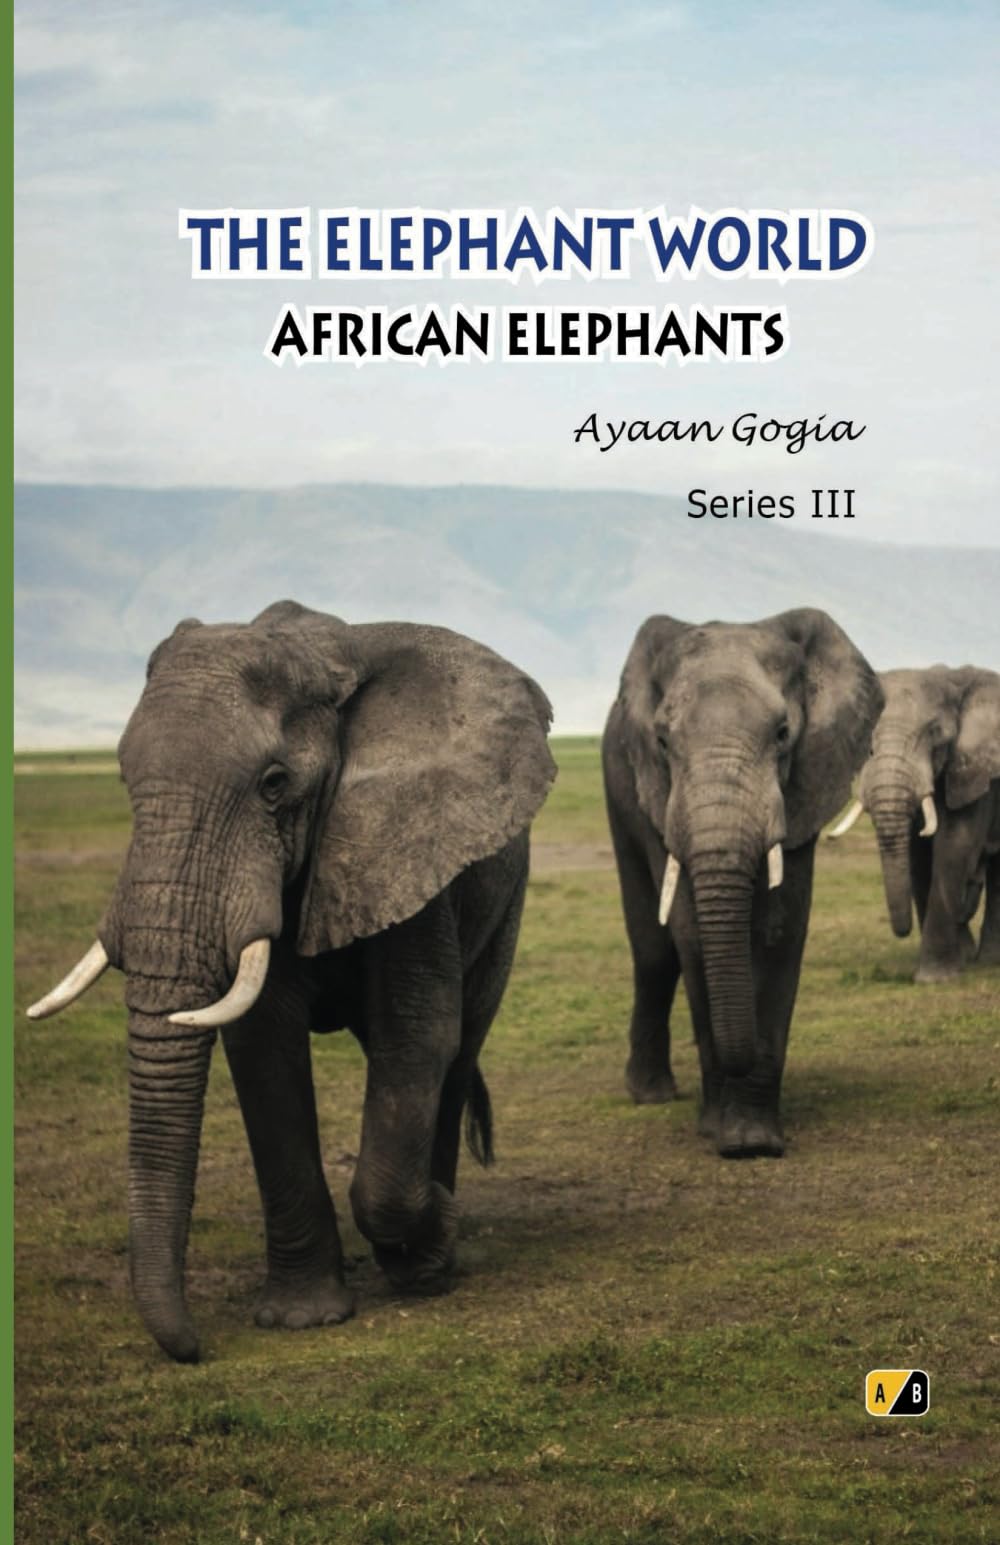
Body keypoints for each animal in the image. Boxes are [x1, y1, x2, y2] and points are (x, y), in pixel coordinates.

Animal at [28, 600, 555, 1363]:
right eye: (123, 779)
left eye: (274, 783)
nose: (194, 1348)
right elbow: (263, 1052)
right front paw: (302, 1318)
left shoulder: (406, 845)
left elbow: (417, 1038)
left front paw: (431, 1244)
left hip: (506, 899)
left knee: (458, 1054)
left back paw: (433, 1257)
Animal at [603, 608, 882, 1158]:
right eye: (662, 742)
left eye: (782, 733)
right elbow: (690, 935)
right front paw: (722, 1134)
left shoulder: (804, 787)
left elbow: (779, 931)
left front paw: (754, 1141)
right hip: (618, 789)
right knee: (654, 951)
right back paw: (650, 1095)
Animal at [831, 666, 1000, 981]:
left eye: (935, 733)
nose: (903, 930)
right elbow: (918, 857)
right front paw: (956, 962)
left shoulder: (974, 770)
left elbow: (954, 845)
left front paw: (935, 978)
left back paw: (989, 962)